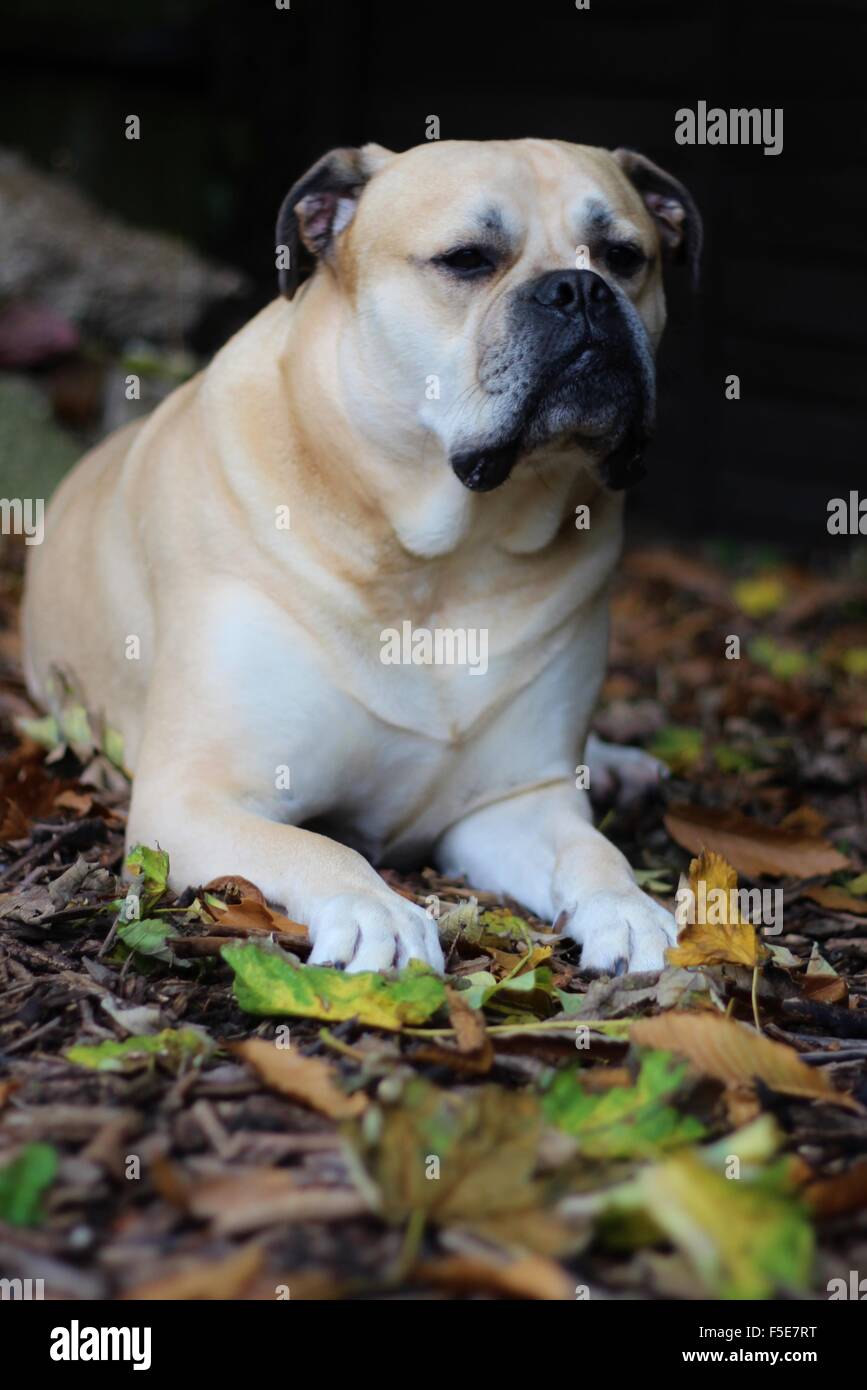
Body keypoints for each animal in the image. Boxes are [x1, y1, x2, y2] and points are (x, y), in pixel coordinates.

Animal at [22, 135, 697, 973]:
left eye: (624, 256)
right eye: (467, 259)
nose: (581, 290)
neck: (442, 554)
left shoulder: (512, 803)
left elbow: (592, 852)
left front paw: (629, 907)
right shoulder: (195, 794)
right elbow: (321, 848)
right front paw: (378, 908)